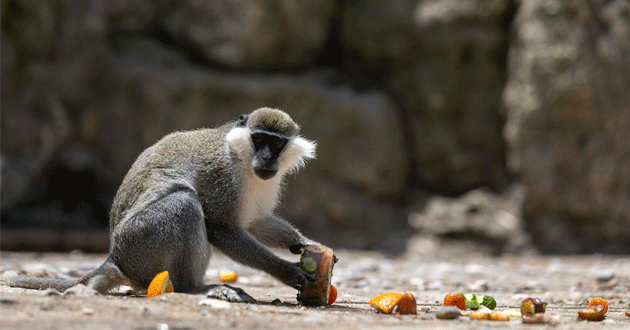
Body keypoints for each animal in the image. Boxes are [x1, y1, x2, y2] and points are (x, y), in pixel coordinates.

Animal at [8, 107, 326, 302]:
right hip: (140, 245)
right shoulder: (222, 174)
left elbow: (254, 221)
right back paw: (195, 288)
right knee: (184, 203)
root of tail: (116, 257)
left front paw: (304, 244)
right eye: (259, 139)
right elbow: (221, 228)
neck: (244, 160)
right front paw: (287, 271)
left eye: (277, 144)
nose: (267, 159)